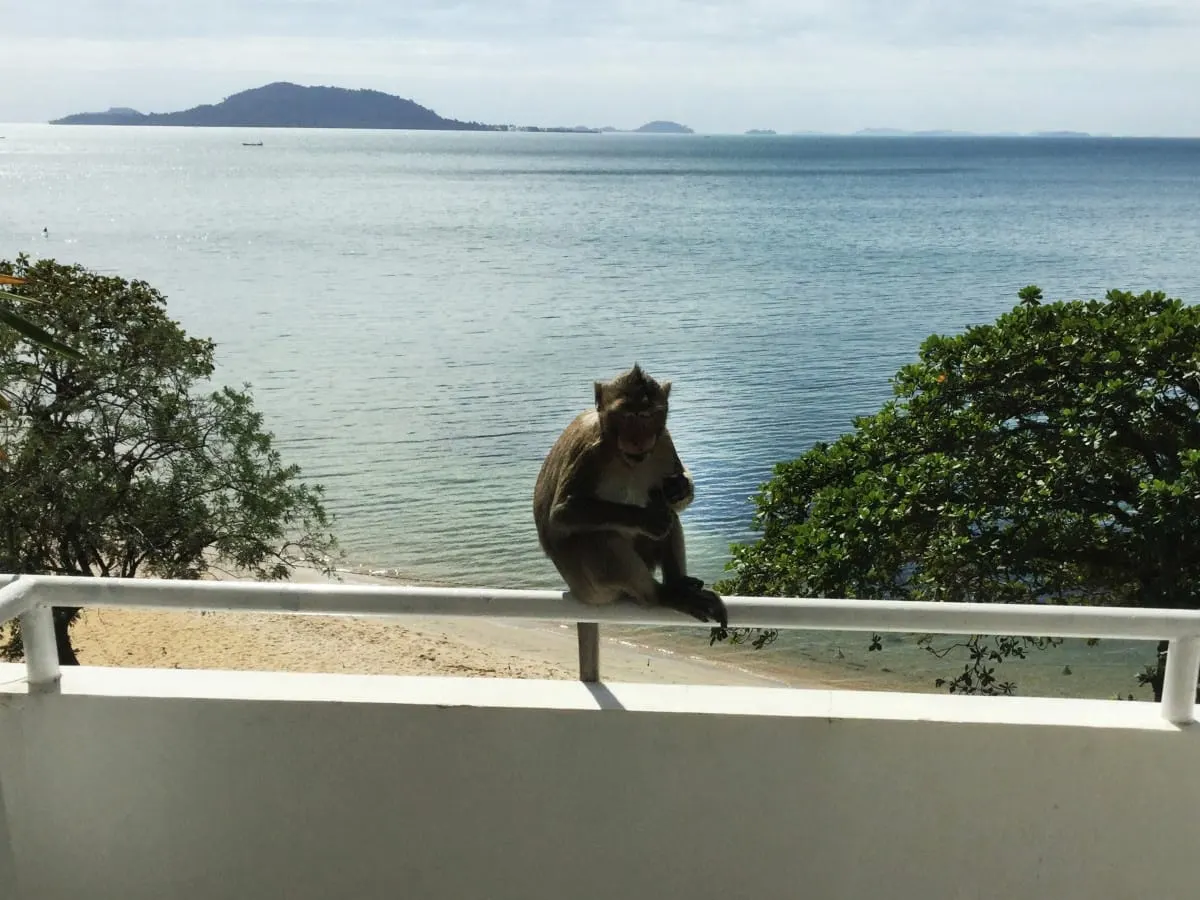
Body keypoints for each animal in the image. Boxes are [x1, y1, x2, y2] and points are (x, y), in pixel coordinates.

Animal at [533, 364, 728, 629]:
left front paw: (680, 487)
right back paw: (660, 595)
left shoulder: (663, 441)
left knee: (669, 515)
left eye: (646, 416)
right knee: (598, 537)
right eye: (626, 416)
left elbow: (672, 498)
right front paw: (648, 519)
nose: (638, 439)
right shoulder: (590, 453)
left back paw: (677, 584)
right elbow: (562, 513)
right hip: (590, 587)